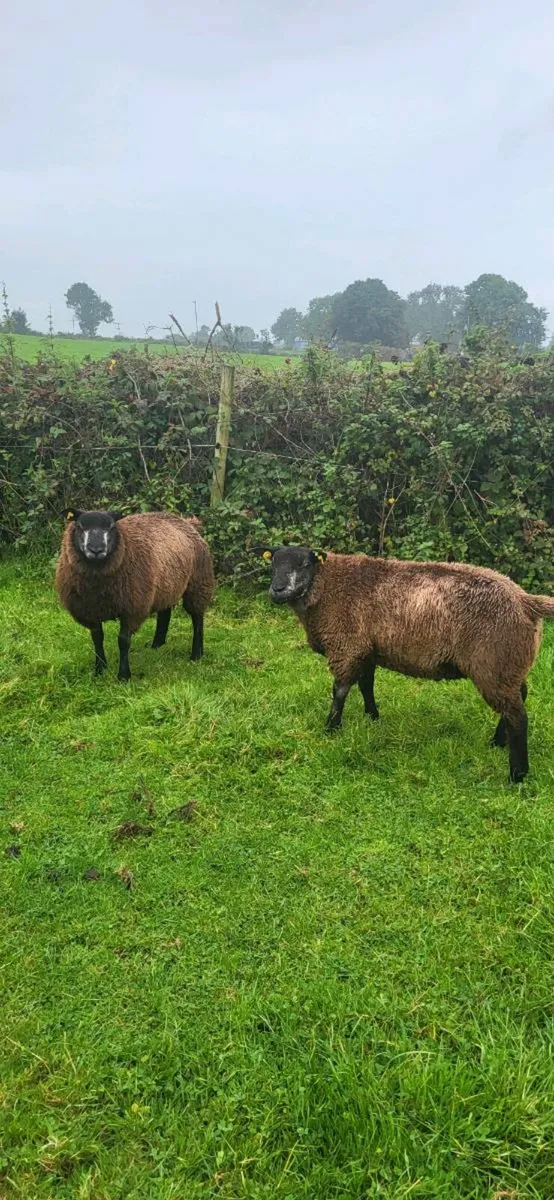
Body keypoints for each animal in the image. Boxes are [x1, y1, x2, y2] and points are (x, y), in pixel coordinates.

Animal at [55, 510, 215, 681]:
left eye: (111, 527)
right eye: (80, 526)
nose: (96, 550)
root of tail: (186, 521)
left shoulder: (132, 609)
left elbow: (123, 641)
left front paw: (123, 675)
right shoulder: (89, 610)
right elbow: (97, 638)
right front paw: (100, 670)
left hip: (199, 582)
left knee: (197, 617)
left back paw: (196, 654)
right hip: (166, 586)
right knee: (165, 612)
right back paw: (157, 645)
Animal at [263, 545, 554, 783]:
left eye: (304, 563)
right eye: (273, 564)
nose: (277, 590)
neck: (327, 586)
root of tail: (526, 601)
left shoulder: (346, 646)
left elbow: (340, 691)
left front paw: (331, 728)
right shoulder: (365, 649)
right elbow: (366, 685)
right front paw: (372, 717)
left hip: (493, 664)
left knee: (518, 716)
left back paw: (516, 774)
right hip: (510, 664)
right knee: (519, 697)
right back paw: (497, 743)